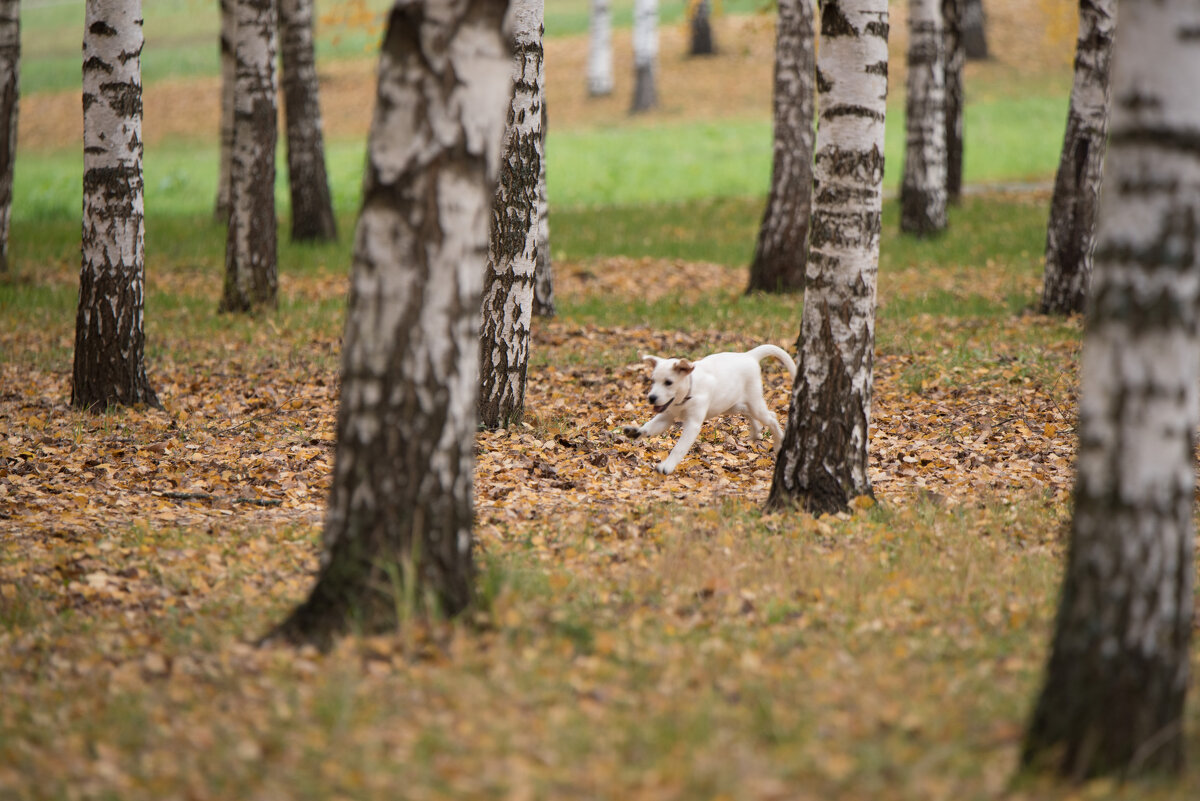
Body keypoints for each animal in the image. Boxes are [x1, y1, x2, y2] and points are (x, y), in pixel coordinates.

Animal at [624, 345, 801, 472]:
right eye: (653, 381)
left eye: (668, 382)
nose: (651, 398)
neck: (688, 392)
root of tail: (749, 355)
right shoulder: (666, 417)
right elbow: (649, 426)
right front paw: (636, 432)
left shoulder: (692, 425)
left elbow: (679, 448)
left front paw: (667, 466)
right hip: (731, 404)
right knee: (749, 412)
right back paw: (756, 432)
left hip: (754, 401)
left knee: (771, 417)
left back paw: (778, 443)